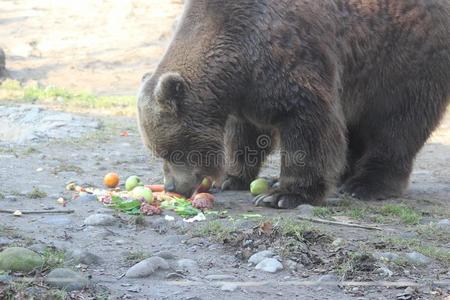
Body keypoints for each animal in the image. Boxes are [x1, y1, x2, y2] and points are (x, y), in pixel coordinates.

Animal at [137, 0, 450, 209]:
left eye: (171, 151)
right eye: (158, 152)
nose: (173, 187)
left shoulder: (288, 55)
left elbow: (309, 123)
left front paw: (283, 194)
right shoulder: (247, 92)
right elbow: (244, 134)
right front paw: (231, 177)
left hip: (402, 59)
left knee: (397, 125)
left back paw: (366, 184)